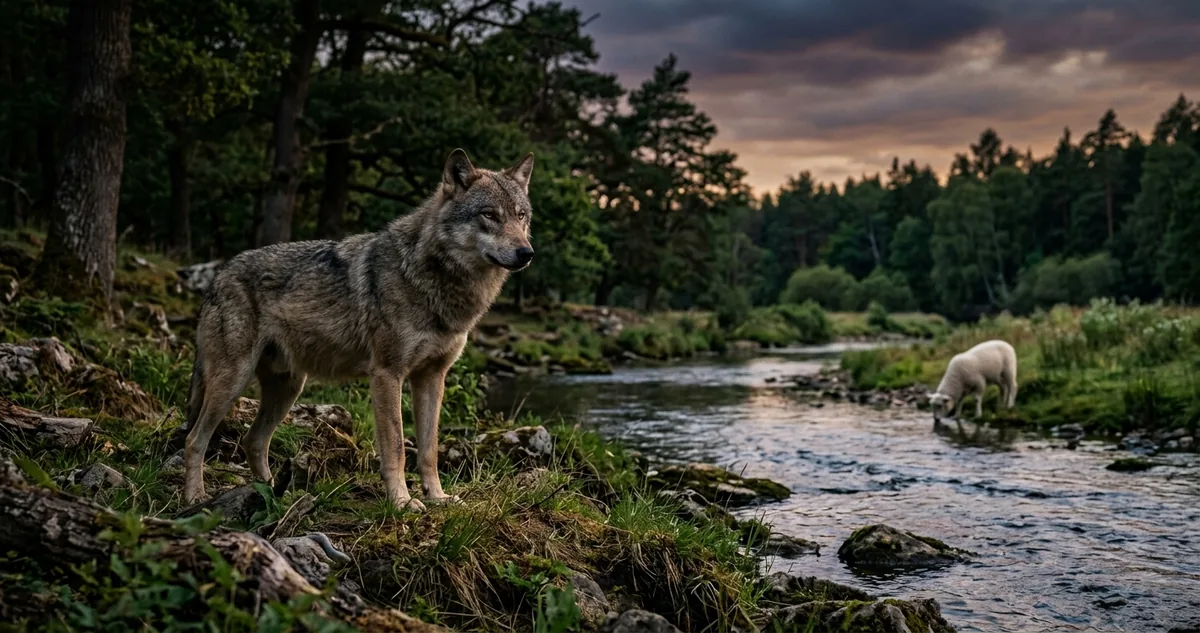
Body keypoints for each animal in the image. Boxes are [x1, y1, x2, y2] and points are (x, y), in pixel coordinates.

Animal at [181, 148, 535, 511]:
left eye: (521, 216)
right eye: (489, 215)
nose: (527, 253)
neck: (432, 280)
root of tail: (217, 276)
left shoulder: (433, 378)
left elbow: (429, 449)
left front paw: (437, 497)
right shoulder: (387, 374)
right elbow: (396, 446)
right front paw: (402, 501)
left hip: (289, 388)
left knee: (253, 440)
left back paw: (274, 496)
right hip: (233, 382)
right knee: (195, 439)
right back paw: (195, 498)